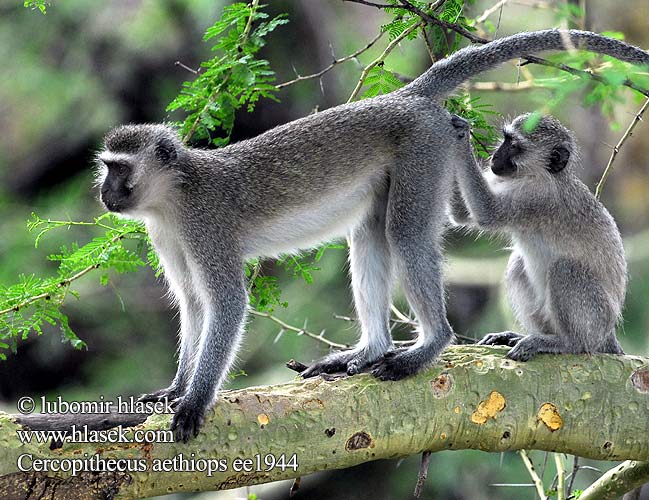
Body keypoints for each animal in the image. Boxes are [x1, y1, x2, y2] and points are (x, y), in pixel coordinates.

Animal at [448, 114, 624, 360]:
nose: (495, 157)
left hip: (597, 320)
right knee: (517, 264)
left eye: (514, 145)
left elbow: (488, 211)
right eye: (506, 139)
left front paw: (461, 135)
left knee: (565, 268)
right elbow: (462, 214)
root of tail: (608, 336)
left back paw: (568, 343)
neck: (539, 174)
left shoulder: (537, 196)